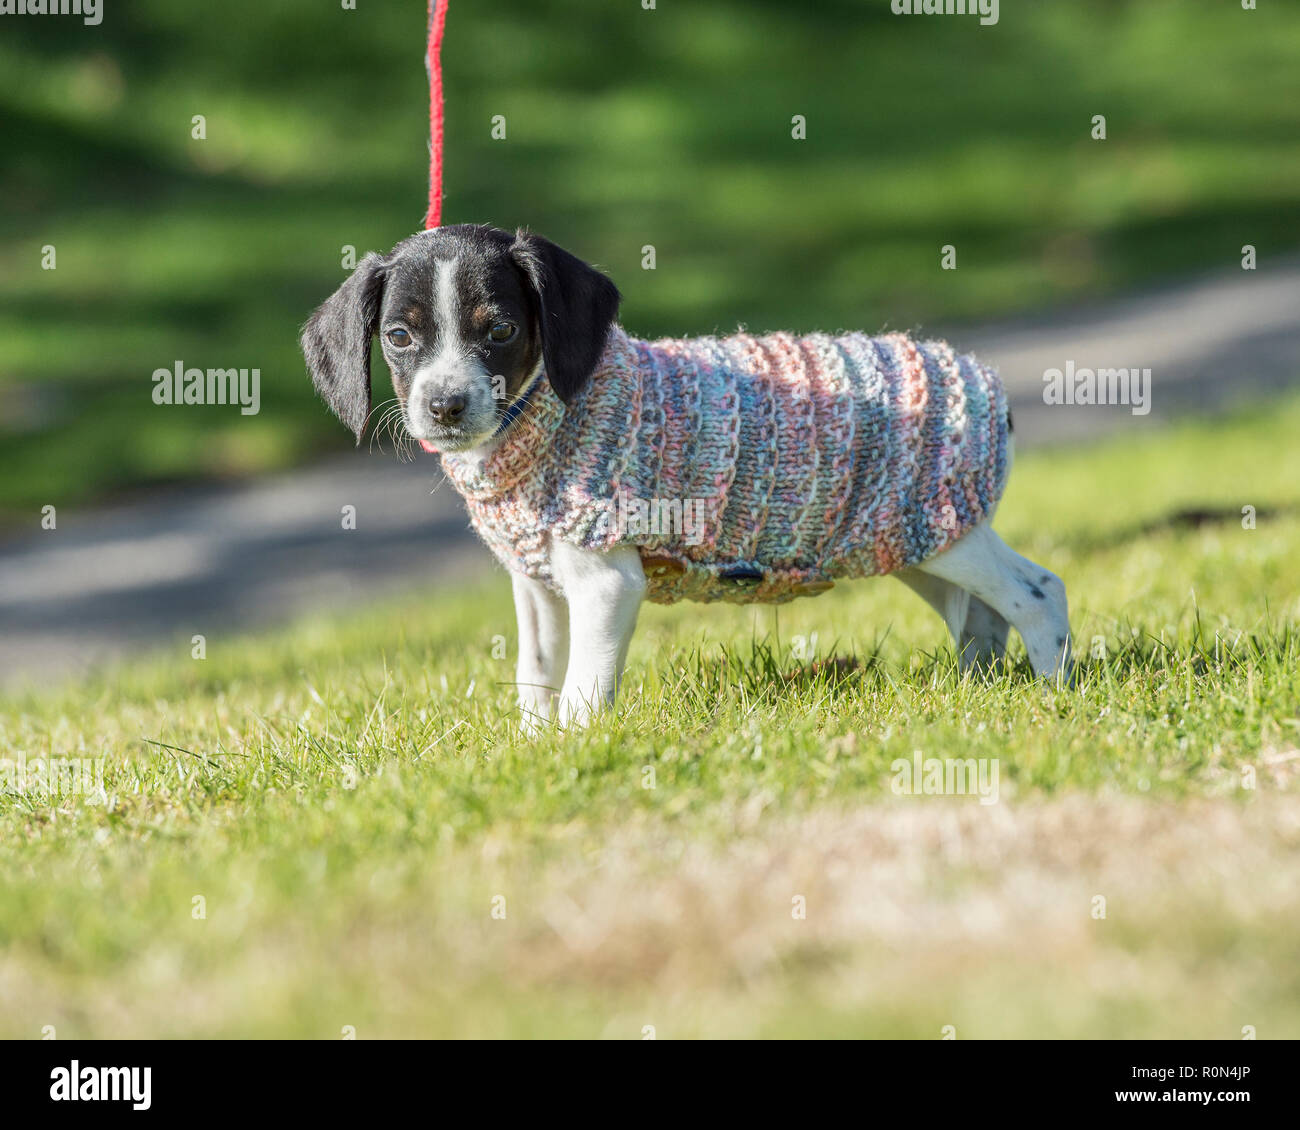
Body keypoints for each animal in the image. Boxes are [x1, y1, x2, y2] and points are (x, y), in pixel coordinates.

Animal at [299, 224, 1071, 728]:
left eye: (501, 331)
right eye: (399, 337)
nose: (444, 406)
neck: (544, 423)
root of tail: (986, 384)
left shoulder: (606, 582)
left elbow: (581, 691)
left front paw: (576, 753)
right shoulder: (536, 586)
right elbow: (538, 675)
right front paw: (532, 750)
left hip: (942, 531)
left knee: (1037, 592)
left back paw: (1055, 694)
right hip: (905, 545)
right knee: (981, 616)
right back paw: (977, 688)